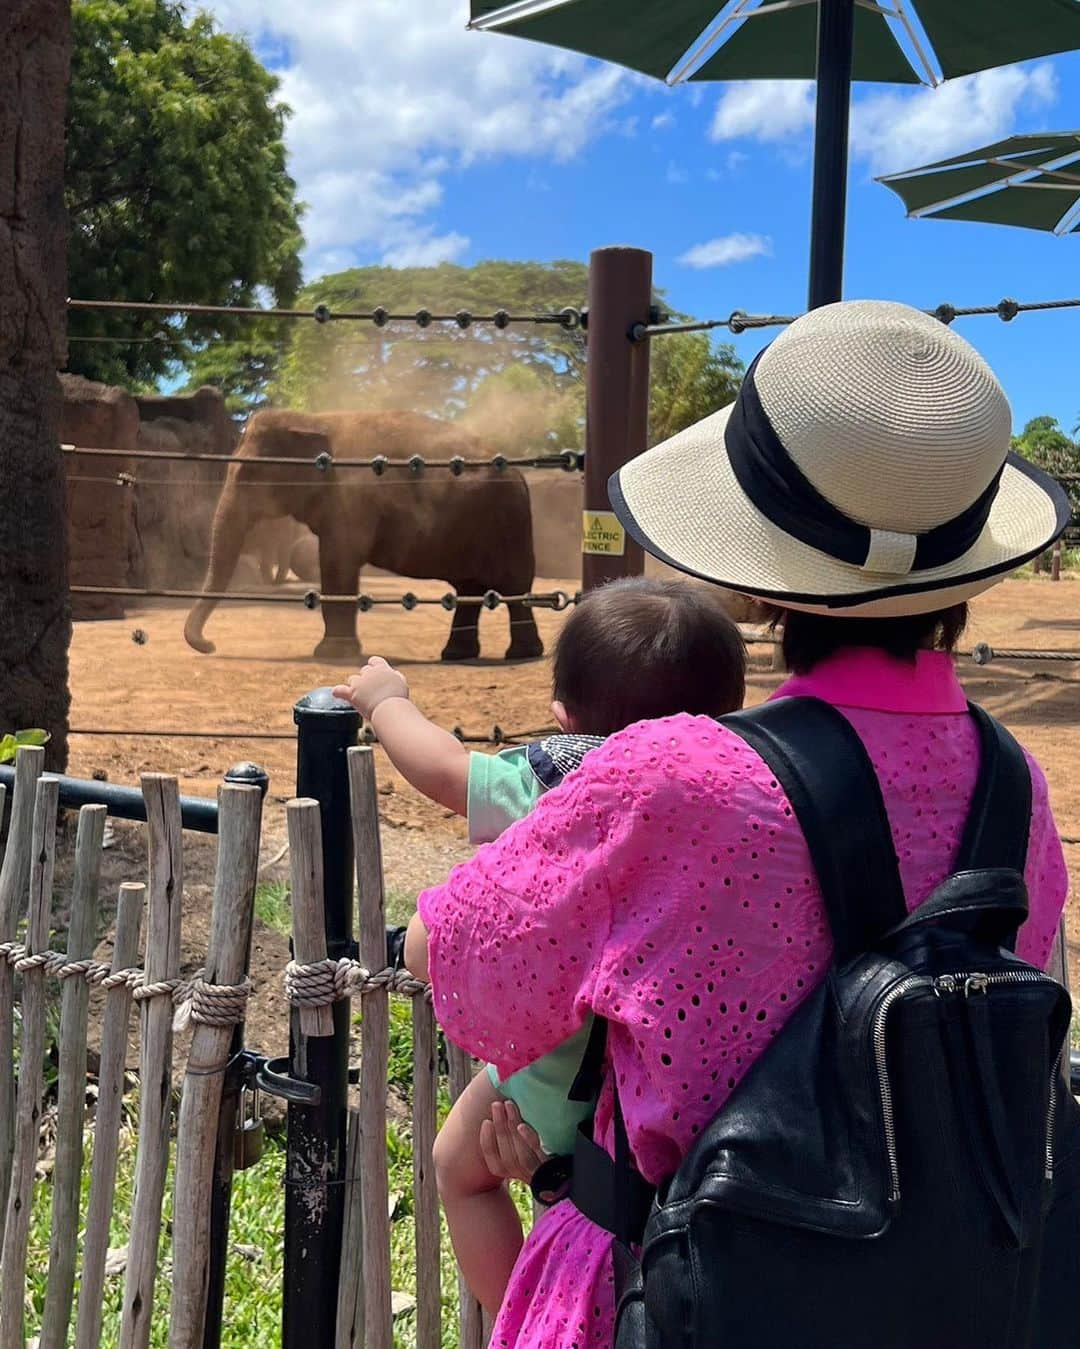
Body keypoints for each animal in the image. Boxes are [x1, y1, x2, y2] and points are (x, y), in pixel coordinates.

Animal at [182, 410, 547, 663]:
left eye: (249, 472)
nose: (210, 646)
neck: (313, 418)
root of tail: (519, 474)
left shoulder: (350, 499)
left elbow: (337, 561)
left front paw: (331, 654)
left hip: (509, 524)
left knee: (514, 586)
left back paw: (521, 654)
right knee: (469, 589)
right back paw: (457, 655)